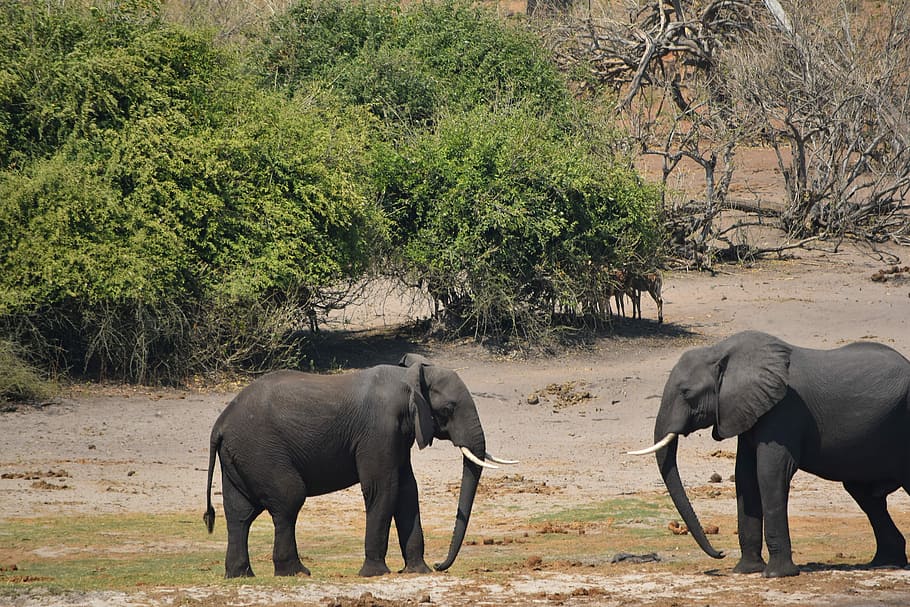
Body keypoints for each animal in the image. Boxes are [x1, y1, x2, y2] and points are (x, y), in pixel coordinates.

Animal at [203, 355, 516, 578]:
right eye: (449, 409)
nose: (441, 565)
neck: (408, 377)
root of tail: (220, 423)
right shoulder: (378, 430)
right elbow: (383, 488)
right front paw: (375, 574)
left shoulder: (398, 434)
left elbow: (407, 490)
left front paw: (418, 571)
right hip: (261, 451)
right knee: (288, 500)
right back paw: (296, 573)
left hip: (241, 455)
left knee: (240, 514)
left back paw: (241, 575)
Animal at [630, 330, 910, 577]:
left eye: (687, 393)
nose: (720, 553)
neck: (721, 352)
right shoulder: (749, 410)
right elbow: (745, 477)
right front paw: (746, 571)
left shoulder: (783, 410)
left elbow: (769, 474)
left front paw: (777, 574)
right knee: (865, 495)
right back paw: (885, 563)